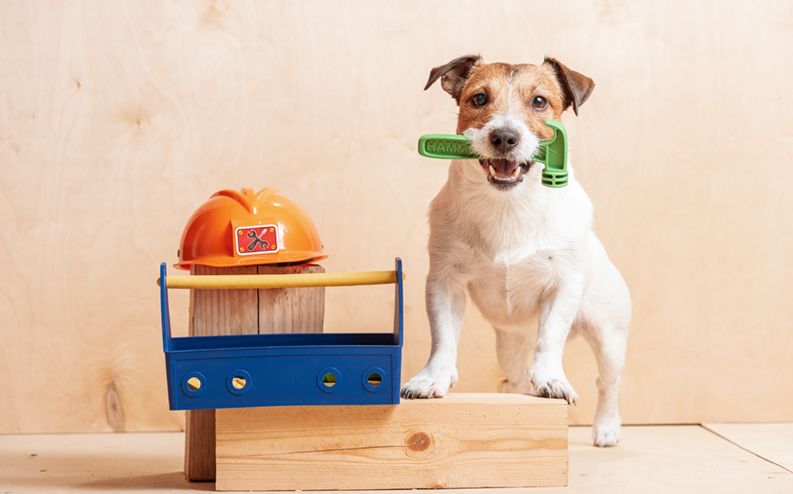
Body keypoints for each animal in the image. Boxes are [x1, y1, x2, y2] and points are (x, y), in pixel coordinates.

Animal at [402, 55, 632, 448]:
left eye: (539, 101)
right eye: (479, 98)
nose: (505, 137)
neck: (509, 206)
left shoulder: (563, 286)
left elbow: (550, 339)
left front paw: (552, 378)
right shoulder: (445, 282)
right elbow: (443, 337)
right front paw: (433, 377)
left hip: (609, 336)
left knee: (608, 382)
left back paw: (606, 427)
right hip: (509, 346)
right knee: (515, 376)